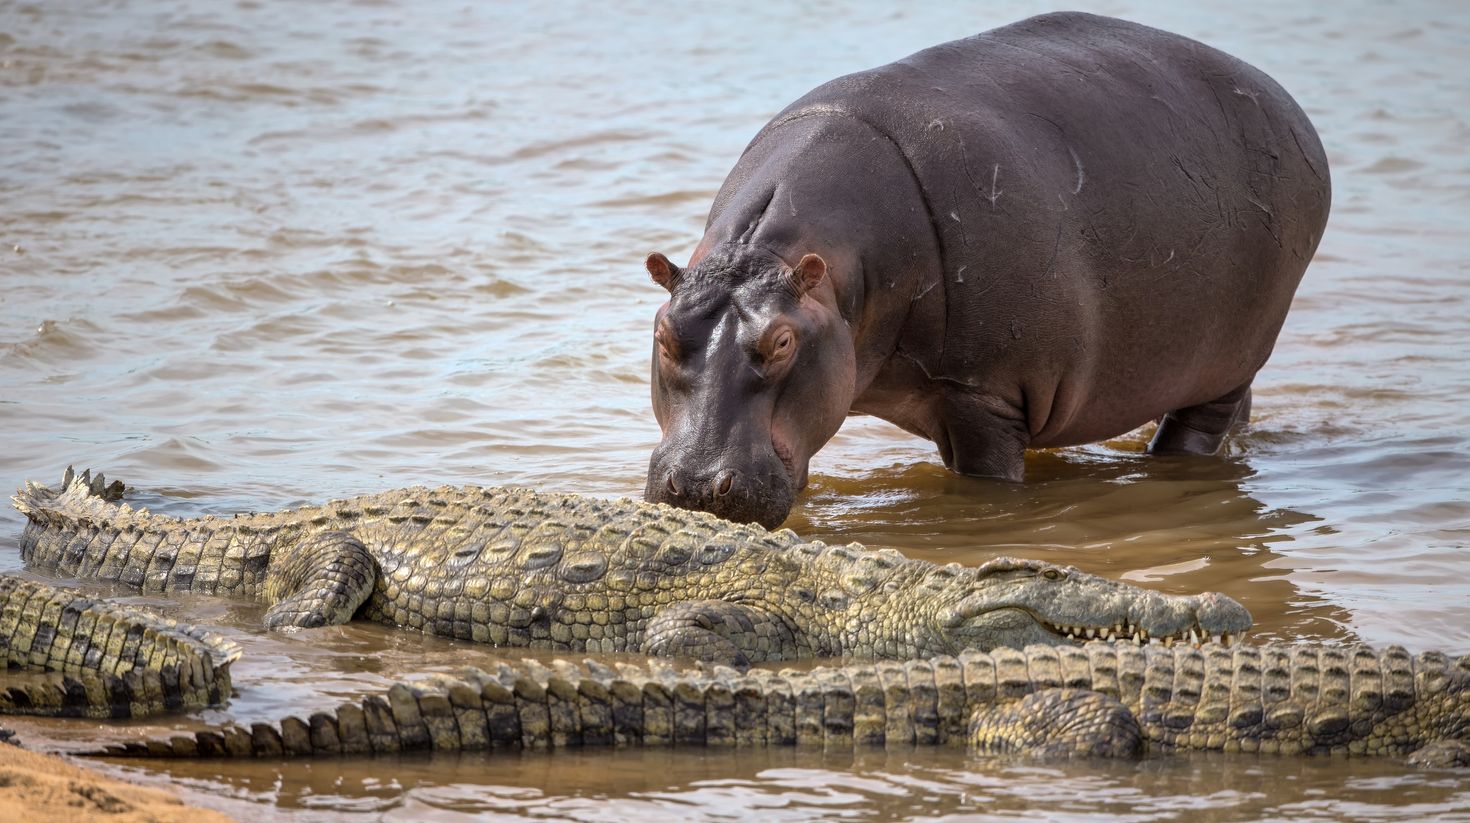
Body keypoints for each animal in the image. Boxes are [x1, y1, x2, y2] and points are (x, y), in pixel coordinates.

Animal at [642, 12, 1330, 528]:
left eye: (783, 341)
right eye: (662, 332)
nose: (695, 486)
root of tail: (1285, 101)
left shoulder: (986, 395)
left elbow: (987, 482)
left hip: (1233, 356)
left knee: (1197, 430)